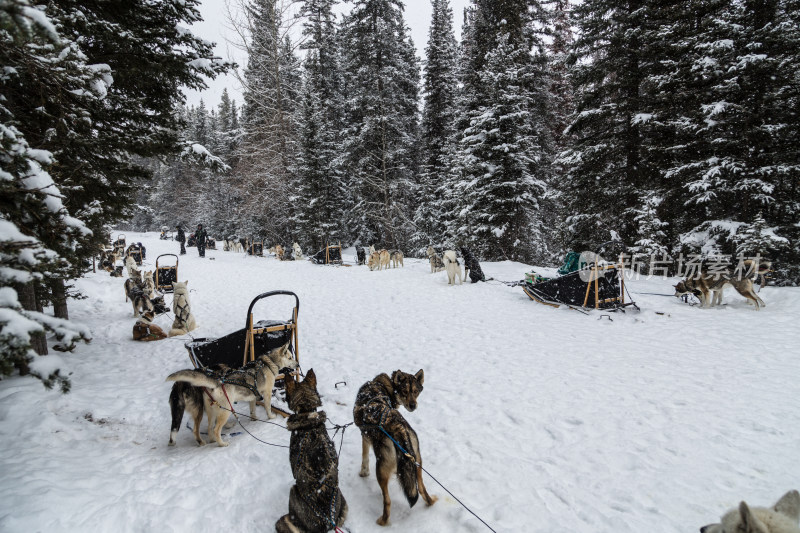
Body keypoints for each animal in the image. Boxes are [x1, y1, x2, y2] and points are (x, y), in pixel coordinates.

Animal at [165, 340, 296, 444]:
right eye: (290, 358)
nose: (298, 364)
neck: (269, 363)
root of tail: (217, 382)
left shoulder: (253, 397)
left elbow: (253, 410)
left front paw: (254, 418)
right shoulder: (267, 393)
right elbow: (268, 408)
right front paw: (271, 417)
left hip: (212, 411)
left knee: (210, 428)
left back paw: (213, 440)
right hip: (224, 409)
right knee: (214, 429)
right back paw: (221, 444)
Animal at [354, 370, 434, 524]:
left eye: (415, 392)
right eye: (405, 391)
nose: (413, 405)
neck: (383, 385)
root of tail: (399, 429)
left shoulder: (364, 436)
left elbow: (364, 456)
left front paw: (363, 472)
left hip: (381, 470)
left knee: (388, 501)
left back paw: (382, 521)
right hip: (417, 465)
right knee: (422, 490)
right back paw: (431, 502)